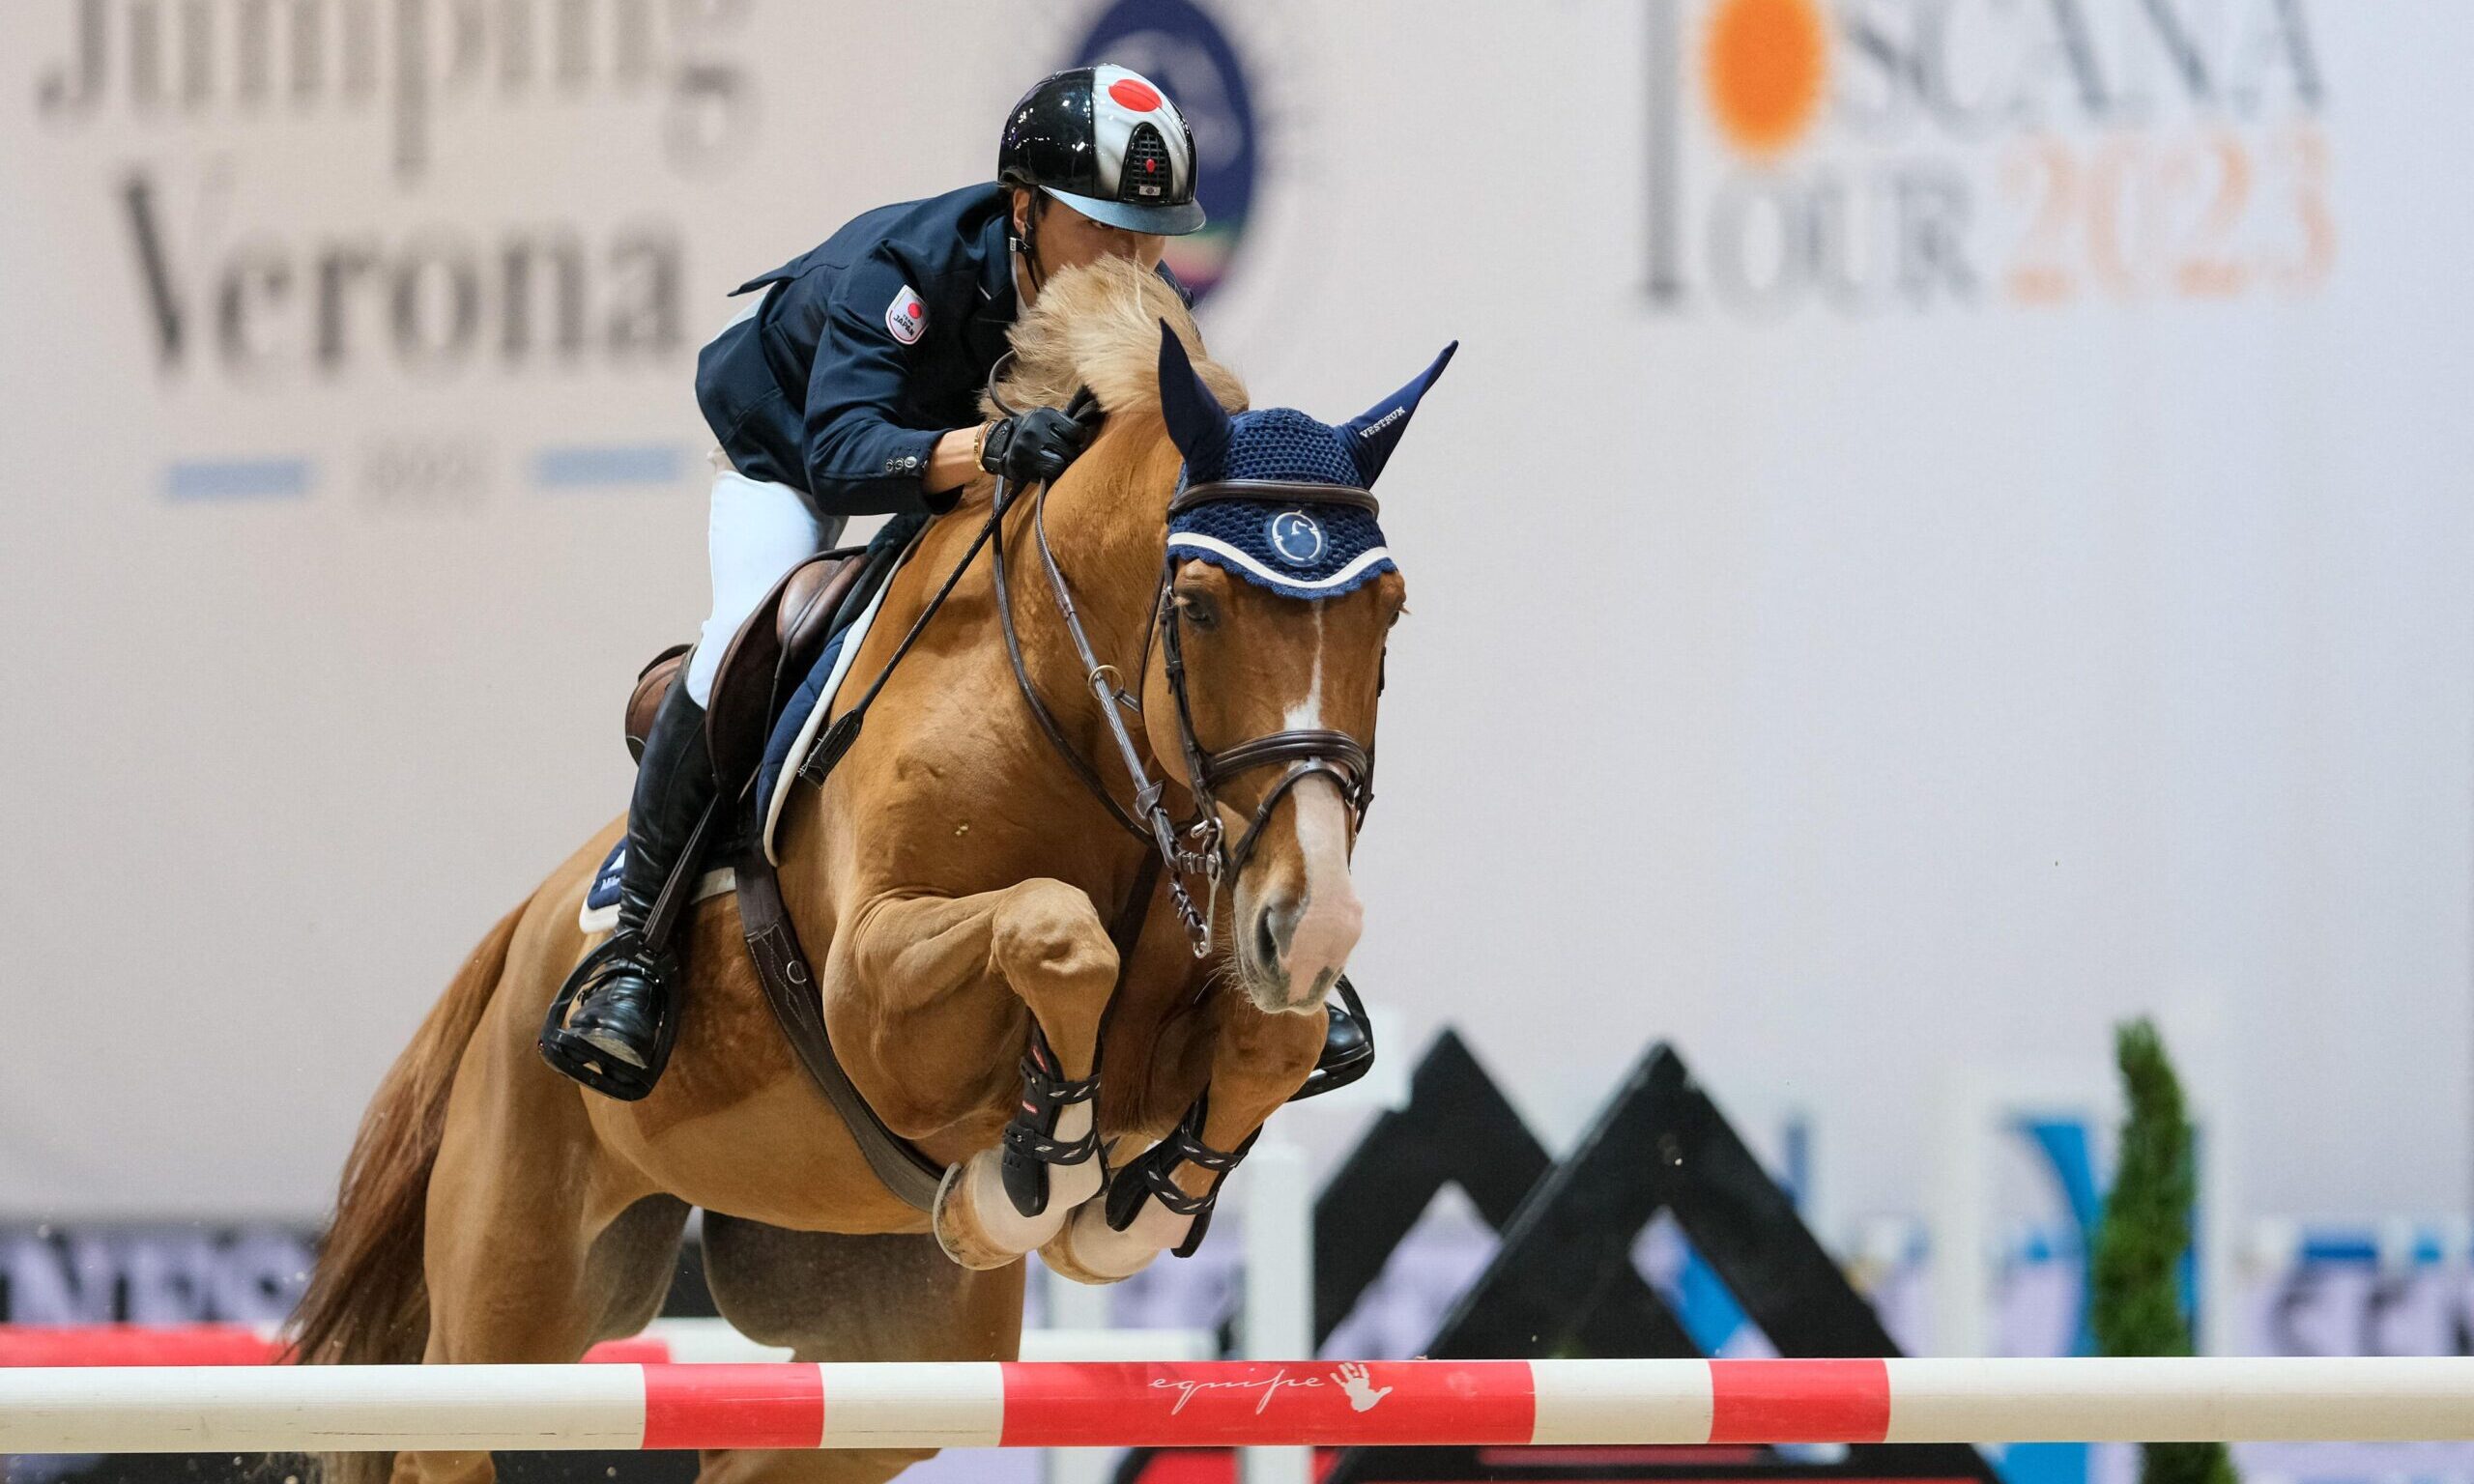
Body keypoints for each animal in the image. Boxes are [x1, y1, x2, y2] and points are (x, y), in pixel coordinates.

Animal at [287, 255, 1453, 1484]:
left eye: (1388, 613)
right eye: (1197, 608)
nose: (1315, 925)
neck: (1079, 723)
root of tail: (524, 930)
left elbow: (1275, 1035)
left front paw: (1127, 1206)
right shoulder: (873, 997)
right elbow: (1054, 932)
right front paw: (1042, 1170)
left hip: (888, 1352)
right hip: (509, 1298)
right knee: (445, 1429)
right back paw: (621, 1008)